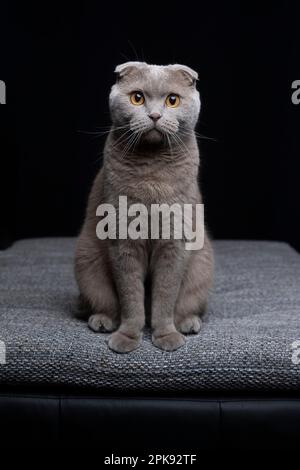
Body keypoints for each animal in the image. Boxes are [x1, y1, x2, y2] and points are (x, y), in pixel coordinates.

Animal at [74, 61, 213, 352]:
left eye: (172, 100)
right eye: (137, 98)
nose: (155, 115)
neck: (152, 177)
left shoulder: (174, 241)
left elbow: (165, 294)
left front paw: (166, 337)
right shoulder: (123, 238)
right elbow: (131, 295)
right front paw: (127, 338)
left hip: (201, 267)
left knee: (186, 303)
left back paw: (189, 323)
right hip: (87, 261)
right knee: (104, 302)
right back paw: (102, 321)